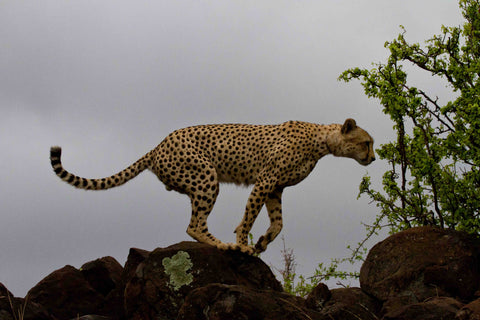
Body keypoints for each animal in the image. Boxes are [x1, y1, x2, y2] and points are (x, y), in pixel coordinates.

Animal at [51, 119, 376, 254]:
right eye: (367, 142)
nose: (374, 158)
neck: (323, 142)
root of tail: (157, 145)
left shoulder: (276, 188)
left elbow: (278, 223)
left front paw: (262, 242)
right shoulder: (265, 180)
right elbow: (249, 216)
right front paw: (244, 244)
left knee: (195, 223)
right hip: (207, 176)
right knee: (194, 225)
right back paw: (223, 245)